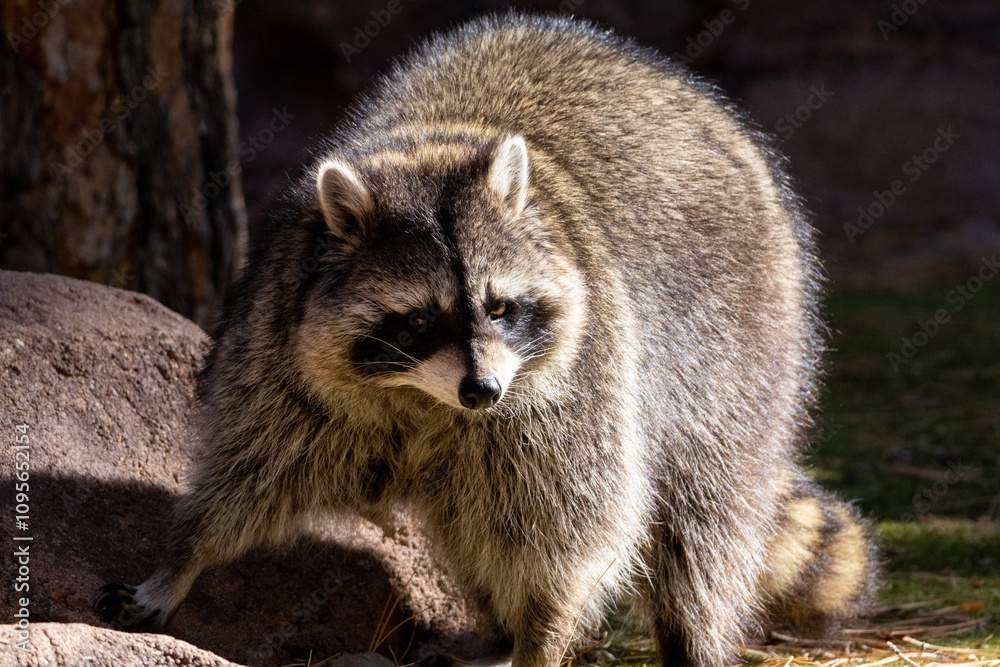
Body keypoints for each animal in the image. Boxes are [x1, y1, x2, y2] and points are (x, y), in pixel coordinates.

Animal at [96, 13, 875, 667]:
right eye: (418, 320)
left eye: (501, 309)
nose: (484, 390)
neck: (419, 398)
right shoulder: (279, 347)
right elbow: (249, 468)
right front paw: (183, 558)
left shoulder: (580, 390)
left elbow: (574, 528)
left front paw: (544, 632)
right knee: (471, 520)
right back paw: (497, 630)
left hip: (741, 340)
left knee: (704, 513)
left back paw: (686, 636)